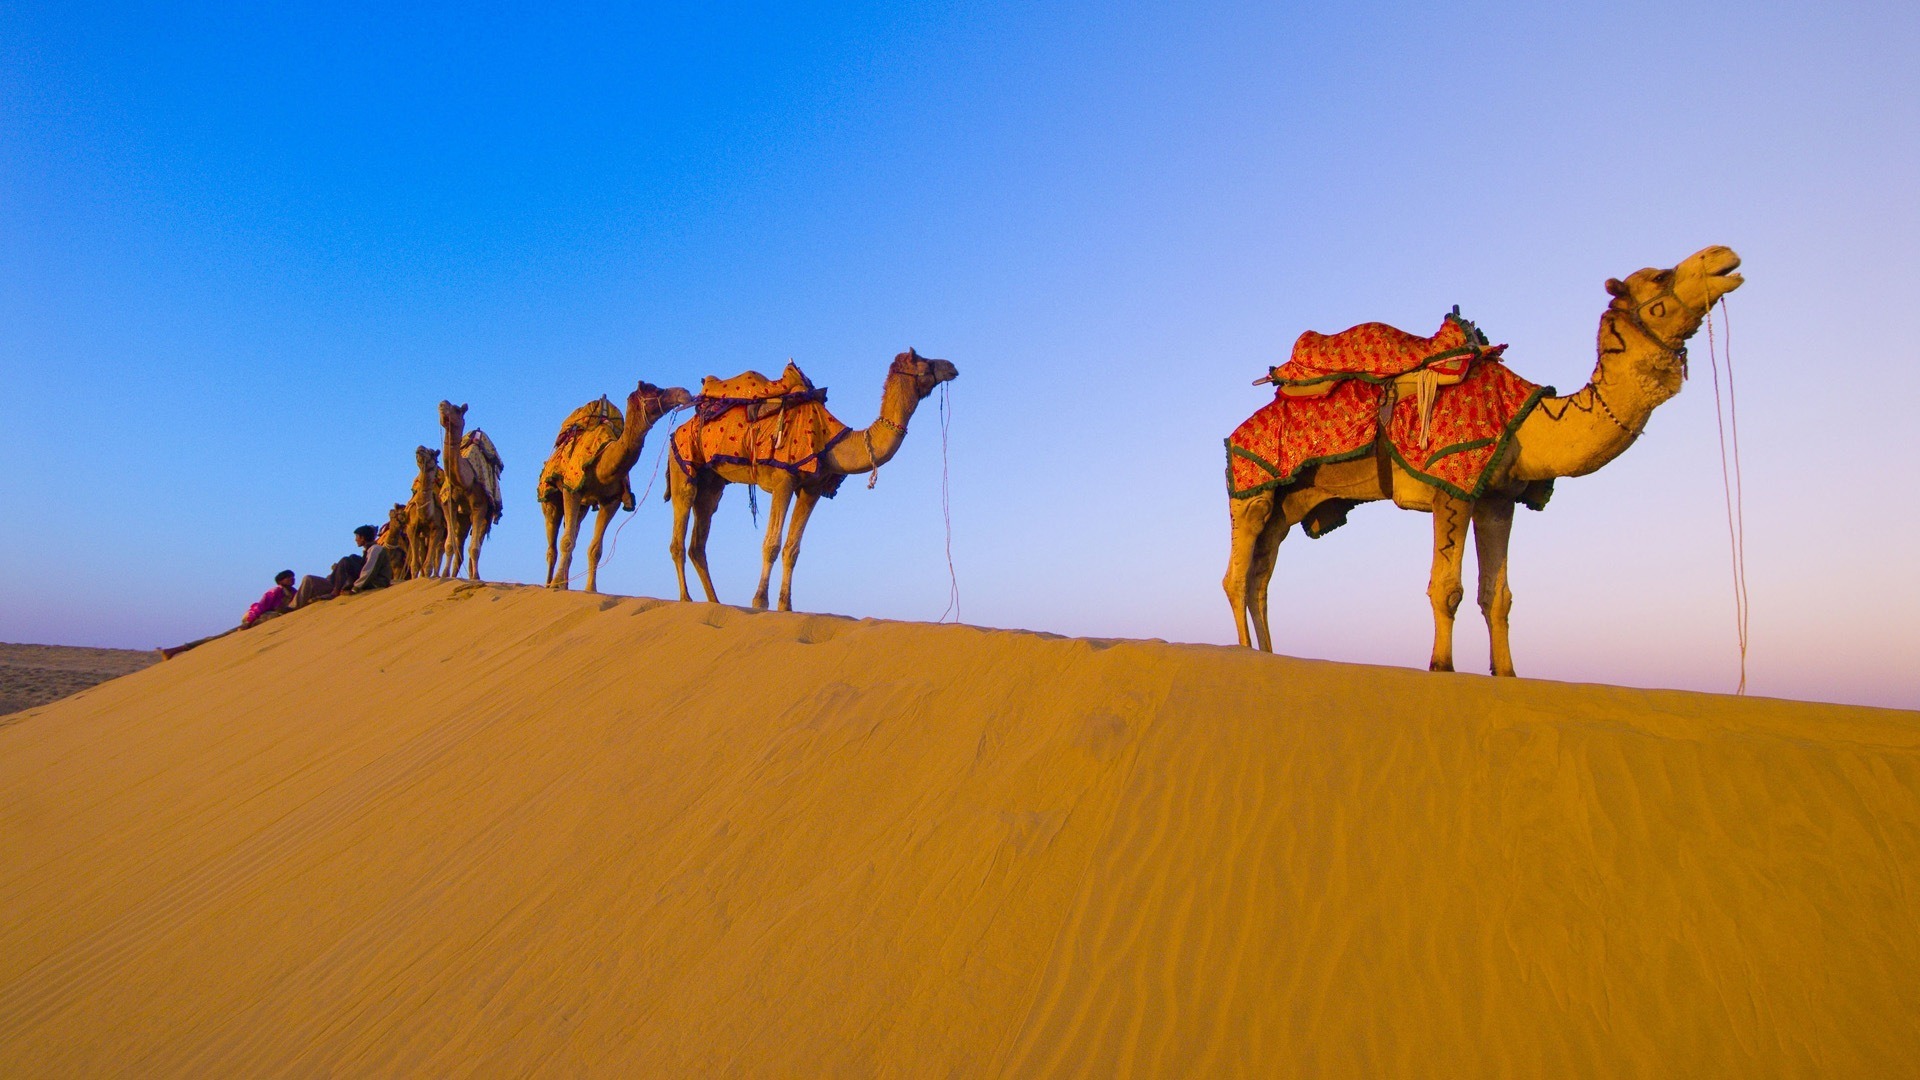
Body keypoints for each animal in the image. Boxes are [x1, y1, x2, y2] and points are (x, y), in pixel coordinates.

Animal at [405, 445, 449, 576]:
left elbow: (428, 564)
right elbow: (415, 565)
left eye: (432, 453)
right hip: (423, 535)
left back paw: (437, 575)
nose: (420, 448)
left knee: (439, 552)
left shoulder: (438, 528)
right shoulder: (411, 528)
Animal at [437, 399, 506, 576]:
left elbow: (474, 549)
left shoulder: (480, 505)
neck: (464, 481)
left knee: (476, 544)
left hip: (486, 515)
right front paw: (444, 575)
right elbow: (450, 545)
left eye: (456, 409)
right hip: (462, 518)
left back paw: (474, 575)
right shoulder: (448, 502)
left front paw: (475, 577)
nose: (442, 404)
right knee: (460, 546)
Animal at [537, 378, 695, 591]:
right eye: (656, 390)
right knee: (552, 546)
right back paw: (550, 584)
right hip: (550, 499)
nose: (684, 392)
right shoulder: (571, 489)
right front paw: (556, 585)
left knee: (574, 530)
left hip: (583, 506)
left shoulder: (611, 500)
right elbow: (567, 542)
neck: (601, 463)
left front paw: (591, 589)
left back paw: (566, 584)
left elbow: (595, 549)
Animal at [672, 349, 956, 611]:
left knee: (699, 539)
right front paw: (760, 602)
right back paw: (686, 599)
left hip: (713, 483)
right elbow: (772, 544)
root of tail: (681, 426)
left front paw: (786, 606)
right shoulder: (783, 481)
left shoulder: (812, 489)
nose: (952, 366)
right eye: (924, 361)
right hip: (683, 465)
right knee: (680, 531)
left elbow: (792, 549)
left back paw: (714, 602)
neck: (833, 441)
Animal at [1221, 247, 1751, 676]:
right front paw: (1441, 666)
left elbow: (1497, 597)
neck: (1530, 423)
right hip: (1252, 487)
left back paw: (1268, 653)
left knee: (1261, 576)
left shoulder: (1498, 498)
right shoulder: (1451, 487)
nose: (1724, 255)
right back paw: (1245, 651)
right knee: (1236, 576)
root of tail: (1237, 429)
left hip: (1293, 501)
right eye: (1660, 276)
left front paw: (1507, 672)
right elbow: (1446, 588)